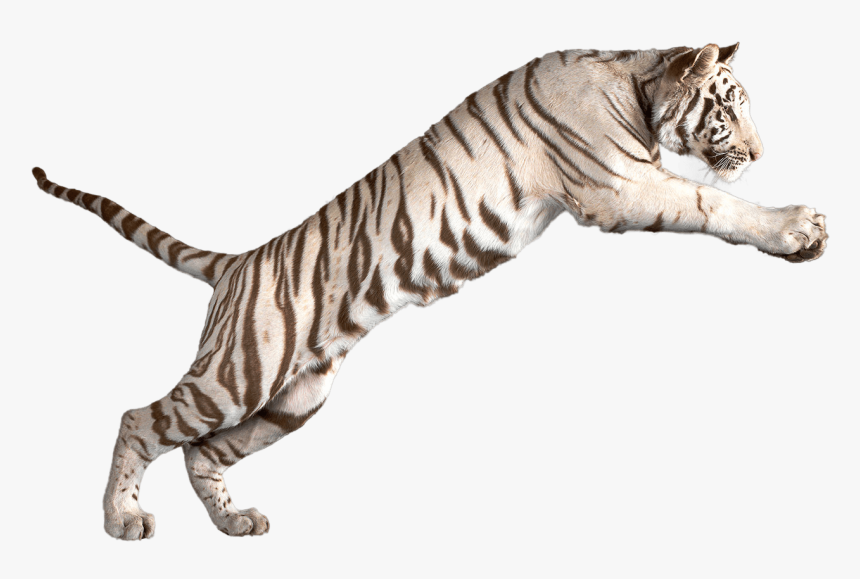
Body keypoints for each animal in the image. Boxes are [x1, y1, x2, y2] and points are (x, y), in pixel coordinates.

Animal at [31, 43, 827, 540]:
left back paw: (234, 522)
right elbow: (712, 202)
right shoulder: (621, 186)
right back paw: (120, 520)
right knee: (139, 418)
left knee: (203, 451)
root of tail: (239, 262)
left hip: (294, 399)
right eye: (728, 106)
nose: (759, 152)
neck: (636, 82)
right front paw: (797, 226)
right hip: (237, 372)